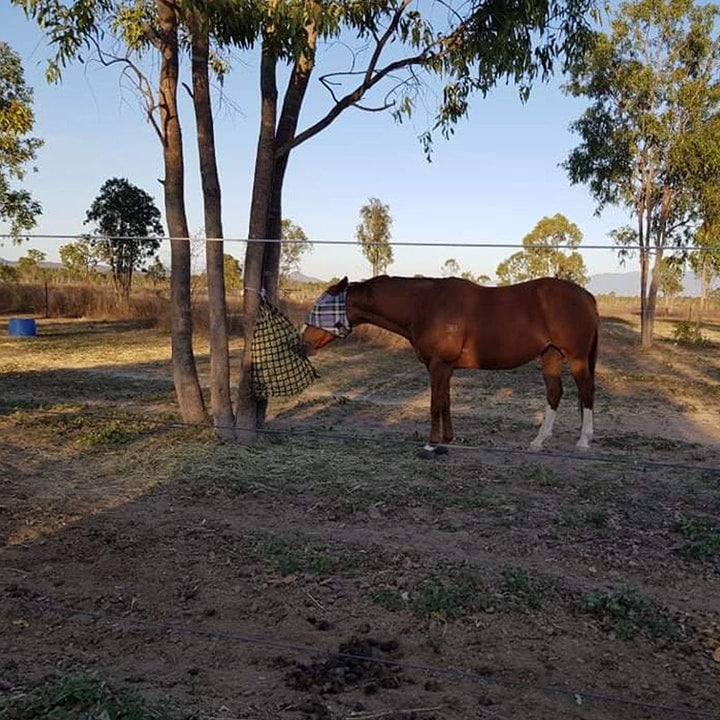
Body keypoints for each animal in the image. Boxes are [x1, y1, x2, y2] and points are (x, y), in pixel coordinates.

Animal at [300, 276, 600, 456]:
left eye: (320, 307)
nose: (302, 342)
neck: (424, 306)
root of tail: (586, 295)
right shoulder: (444, 368)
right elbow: (445, 401)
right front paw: (447, 438)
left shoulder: (439, 365)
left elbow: (436, 403)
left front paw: (431, 443)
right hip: (551, 355)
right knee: (554, 393)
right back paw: (538, 441)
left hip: (576, 358)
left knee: (586, 392)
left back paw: (583, 440)